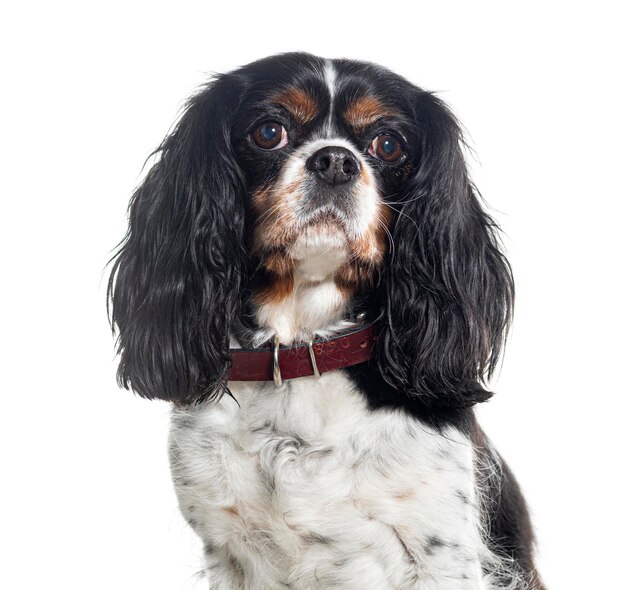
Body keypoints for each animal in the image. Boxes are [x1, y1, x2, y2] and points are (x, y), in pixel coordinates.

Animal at [107, 53, 540, 588]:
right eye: (268, 132)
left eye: (388, 143)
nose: (335, 160)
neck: (302, 349)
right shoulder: (226, 550)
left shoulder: (444, 556)